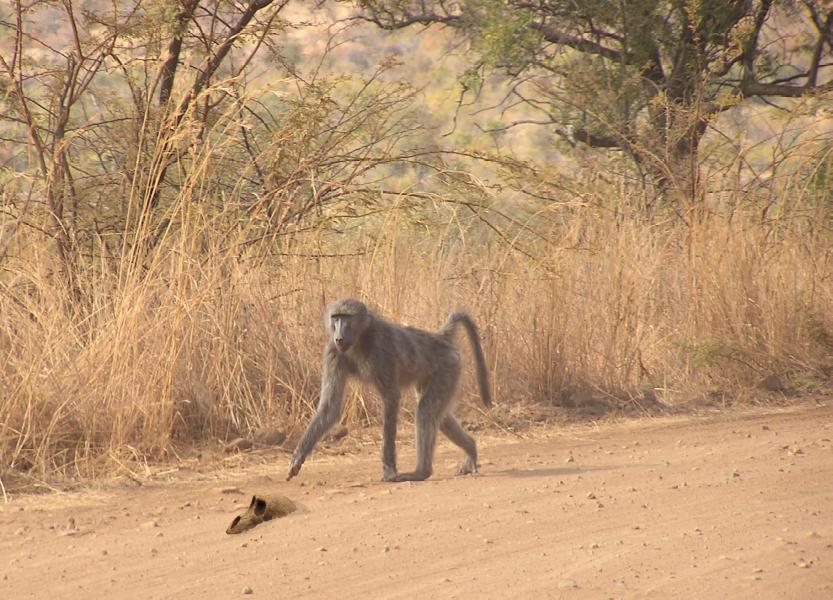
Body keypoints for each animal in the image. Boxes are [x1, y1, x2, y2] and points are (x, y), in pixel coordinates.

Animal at [286, 298, 492, 483]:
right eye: (335, 318)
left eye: (346, 317)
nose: (339, 337)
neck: (360, 338)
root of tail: (439, 338)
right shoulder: (333, 352)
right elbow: (330, 406)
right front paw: (298, 457)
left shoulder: (382, 349)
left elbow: (391, 399)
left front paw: (389, 470)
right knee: (440, 417)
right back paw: (471, 450)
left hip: (448, 367)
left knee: (425, 411)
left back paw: (421, 473)